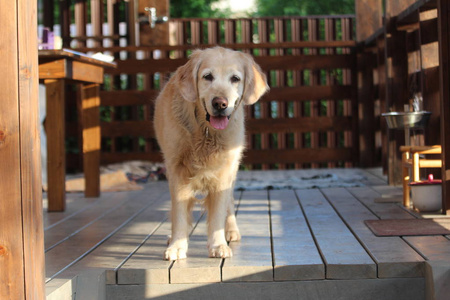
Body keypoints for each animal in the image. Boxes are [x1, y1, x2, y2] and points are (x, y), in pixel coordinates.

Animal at [153, 47, 268, 260]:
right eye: (207, 76)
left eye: (235, 79)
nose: (220, 103)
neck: (205, 131)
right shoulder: (177, 170)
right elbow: (179, 212)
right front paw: (177, 245)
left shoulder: (224, 172)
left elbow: (218, 213)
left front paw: (218, 245)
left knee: (229, 202)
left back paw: (231, 231)